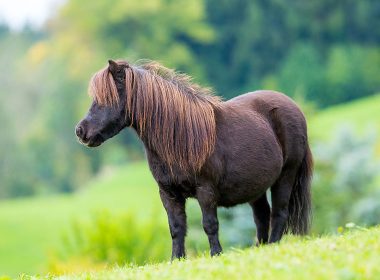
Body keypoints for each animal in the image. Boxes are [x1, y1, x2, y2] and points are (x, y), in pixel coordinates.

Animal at [75, 60, 312, 260]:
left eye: (106, 99)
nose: (81, 131)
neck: (180, 137)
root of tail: (293, 107)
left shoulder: (205, 191)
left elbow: (210, 224)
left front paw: (216, 254)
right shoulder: (168, 194)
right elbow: (176, 227)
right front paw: (176, 259)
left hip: (286, 176)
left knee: (279, 213)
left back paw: (272, 247)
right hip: (256, 186)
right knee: (262, 215)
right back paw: (259, 249)